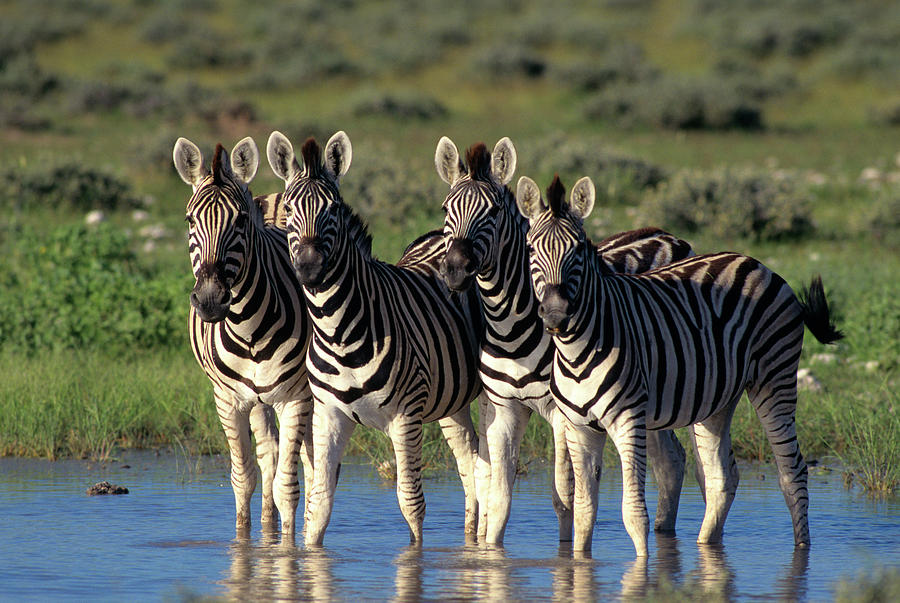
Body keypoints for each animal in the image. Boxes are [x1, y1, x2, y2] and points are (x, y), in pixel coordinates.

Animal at [174, 137, 314, 536]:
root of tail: (278, 197)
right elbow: (244, 478)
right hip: (257, 401)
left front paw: (288, 546)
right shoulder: (227, 399)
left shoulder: (296, 398)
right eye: (190, 220)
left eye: (239, 220)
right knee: (269, 454)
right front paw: (247, 541)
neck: (249, 329)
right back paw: (267, 523)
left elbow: (288, 486)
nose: (209, 300)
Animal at [268, 130, 488, 544]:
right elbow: (319, 503)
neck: (339, 330)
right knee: (470, 463)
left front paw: (415, 555)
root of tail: (440, 234)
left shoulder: (406, 415)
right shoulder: (329, 414)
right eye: (288, 209)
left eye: (333, 211)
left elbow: (410, 501)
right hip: (451, 399)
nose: (308, 268)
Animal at [436, 137, 696, 548]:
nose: (456, 270)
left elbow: (564, 492)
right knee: (670, 460)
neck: (509, 323)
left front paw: (566, 551)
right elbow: (500, 495)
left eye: (492, 212)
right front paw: (489, 553)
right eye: (446, 209)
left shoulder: (561, 411)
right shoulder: (504, 405)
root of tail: (668, 234)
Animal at [512, 173, 844, 556]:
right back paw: (706, 547)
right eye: (531, 250)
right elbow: (583, 510)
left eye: (578, 251)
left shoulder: (629, 420)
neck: (575, 349)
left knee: (792, 471)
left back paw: (802, 550)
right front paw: (578, 563)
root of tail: (757, 264)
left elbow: (633, 513)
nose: (556, 316)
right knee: (721, 475)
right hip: (718, 397)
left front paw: (641, 567)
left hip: (776, 378)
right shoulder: (579, 427)